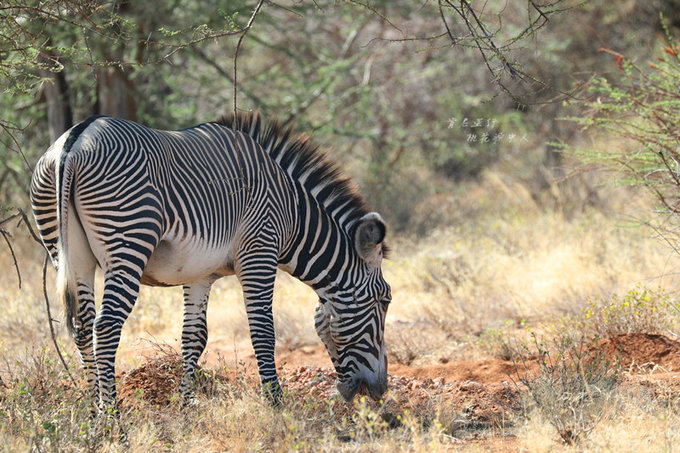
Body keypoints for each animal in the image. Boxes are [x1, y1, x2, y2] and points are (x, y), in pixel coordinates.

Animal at [30, 111, 394, 412]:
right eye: (384, 300)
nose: (379, 390)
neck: (293, 215)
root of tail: (75, 139)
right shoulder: (259, 253)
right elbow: (263, 331)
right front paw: (276, 405)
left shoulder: (199, 275)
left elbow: (194, 337)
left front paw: (185, 407)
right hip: (128, 240)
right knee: (104, 326)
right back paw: (114, 423)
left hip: (69, 252)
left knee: (82, 327)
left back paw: (93, 416)